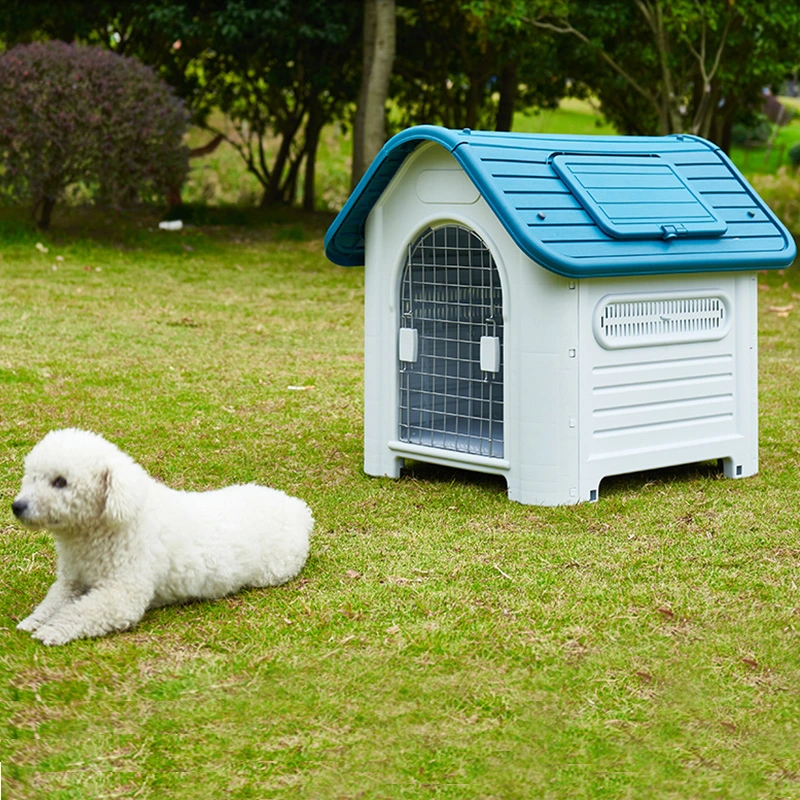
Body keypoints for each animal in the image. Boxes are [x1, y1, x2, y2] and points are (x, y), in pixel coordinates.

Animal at [13, 428, 312, 648]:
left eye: (60, 481)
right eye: (32, 477)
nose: (17, 506)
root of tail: (298, 509)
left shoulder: (122, 594)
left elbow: (79, 612)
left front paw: (52, 630)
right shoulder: (71, 581)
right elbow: (52, 602)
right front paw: (33, 621)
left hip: (274, 571)